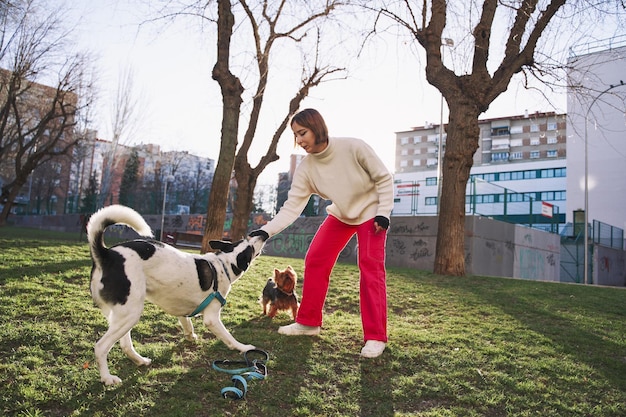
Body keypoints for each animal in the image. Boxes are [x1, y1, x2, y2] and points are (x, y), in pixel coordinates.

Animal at [85, 204, 266, 384]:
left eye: (246, 240)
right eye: (250, 247)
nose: (261, 234)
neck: (222, 265)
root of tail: (106, 254)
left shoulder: (182, 308)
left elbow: (187, 323)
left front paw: (190, 336)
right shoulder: (212, 319)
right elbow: (229, 337)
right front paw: (243, 347)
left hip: (122, 315)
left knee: (124, 344)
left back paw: (140, 361)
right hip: (130, 313)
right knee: (101, 347)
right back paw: (108, 378)